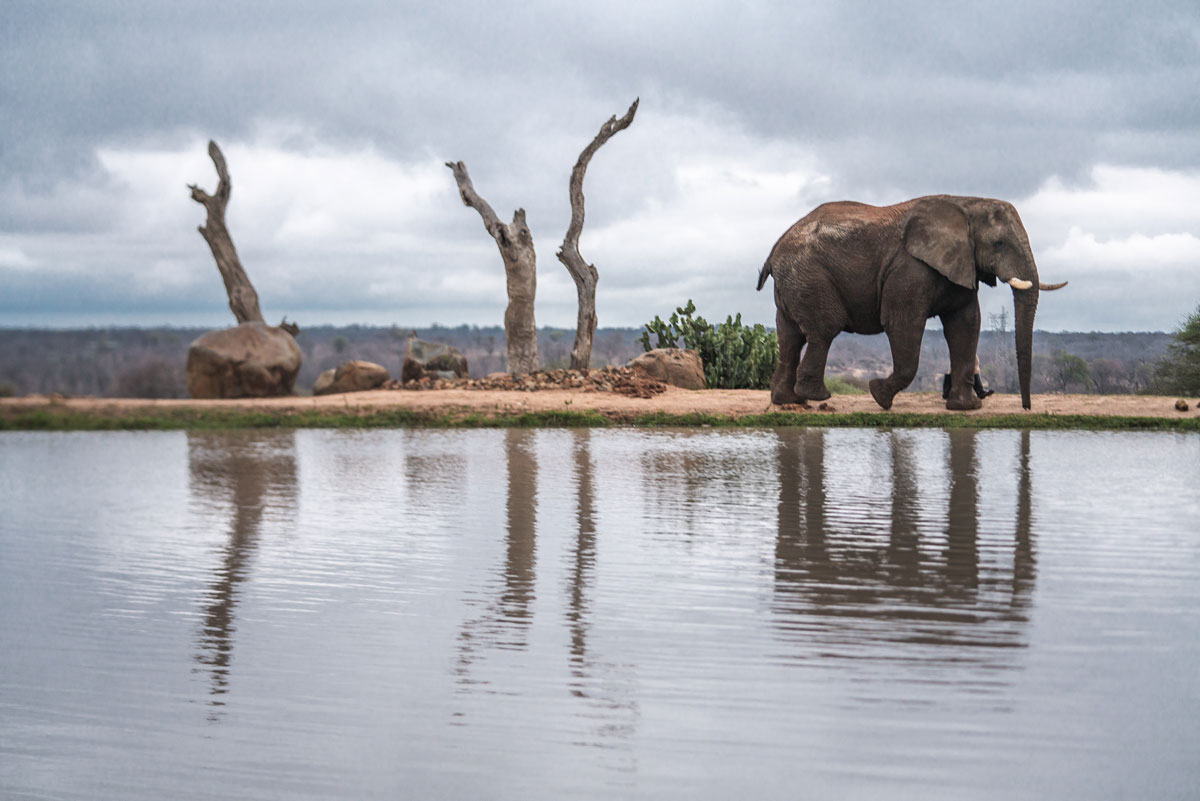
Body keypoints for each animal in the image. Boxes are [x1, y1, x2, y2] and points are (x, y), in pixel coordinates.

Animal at [756, 195, 1066, 410]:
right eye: (999, 244)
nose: (1026, 407)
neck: (967, 203)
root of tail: (774, 250)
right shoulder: (909, 269)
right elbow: (904, 325)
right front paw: (878, 395)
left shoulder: (960, 264)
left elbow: (966, 324)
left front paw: (966, 408)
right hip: (810, 275)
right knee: (823, 330)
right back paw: (816, 397)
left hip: (796, 281)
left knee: (790, 335)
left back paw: (789, 400)